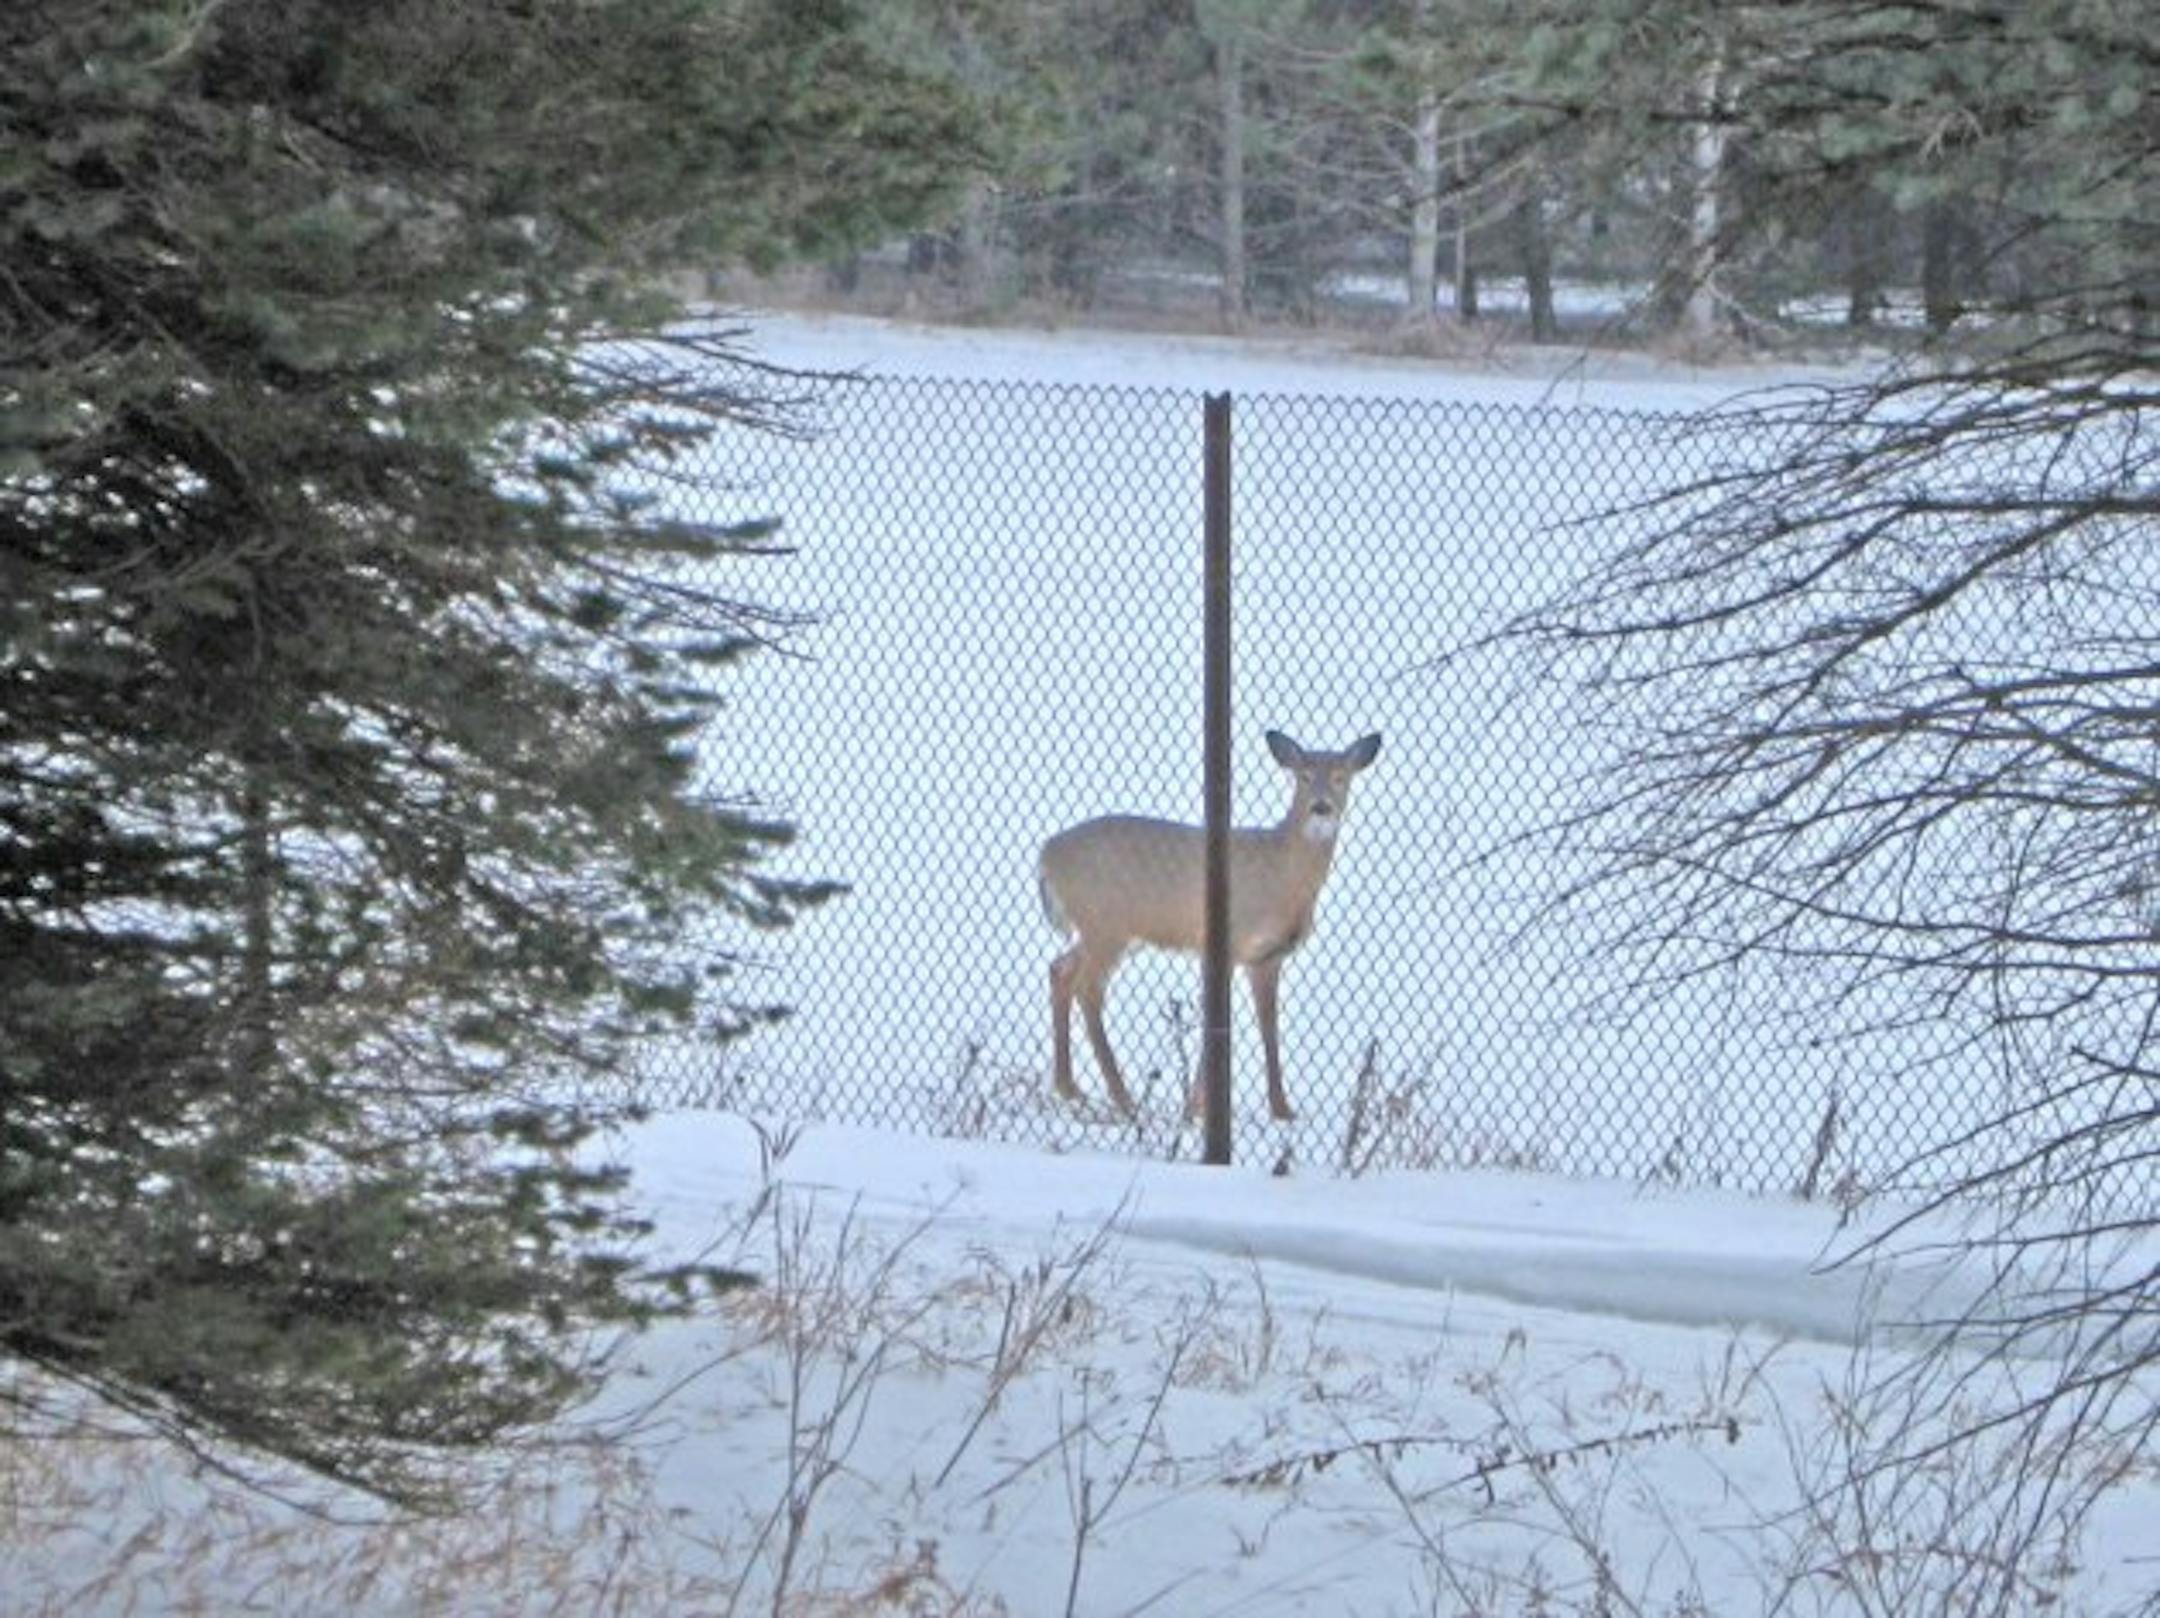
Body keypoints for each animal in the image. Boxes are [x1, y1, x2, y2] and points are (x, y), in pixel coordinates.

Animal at [1038, 729, 1381, 1122]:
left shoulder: (1266, 957)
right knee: (1087, 988)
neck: (1283, 877)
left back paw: (1069, 1088)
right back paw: (1123, 1099)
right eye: (1304, 776)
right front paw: (1195, 1110)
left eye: (1341, 776)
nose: (1321, 807)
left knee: (1060, 969)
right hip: (1106, 923)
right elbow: (1218, 1023)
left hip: (1107, 931)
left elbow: (1269, 1026)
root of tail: (1045, 854)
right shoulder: (1226, 940)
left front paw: (1282, 1109)